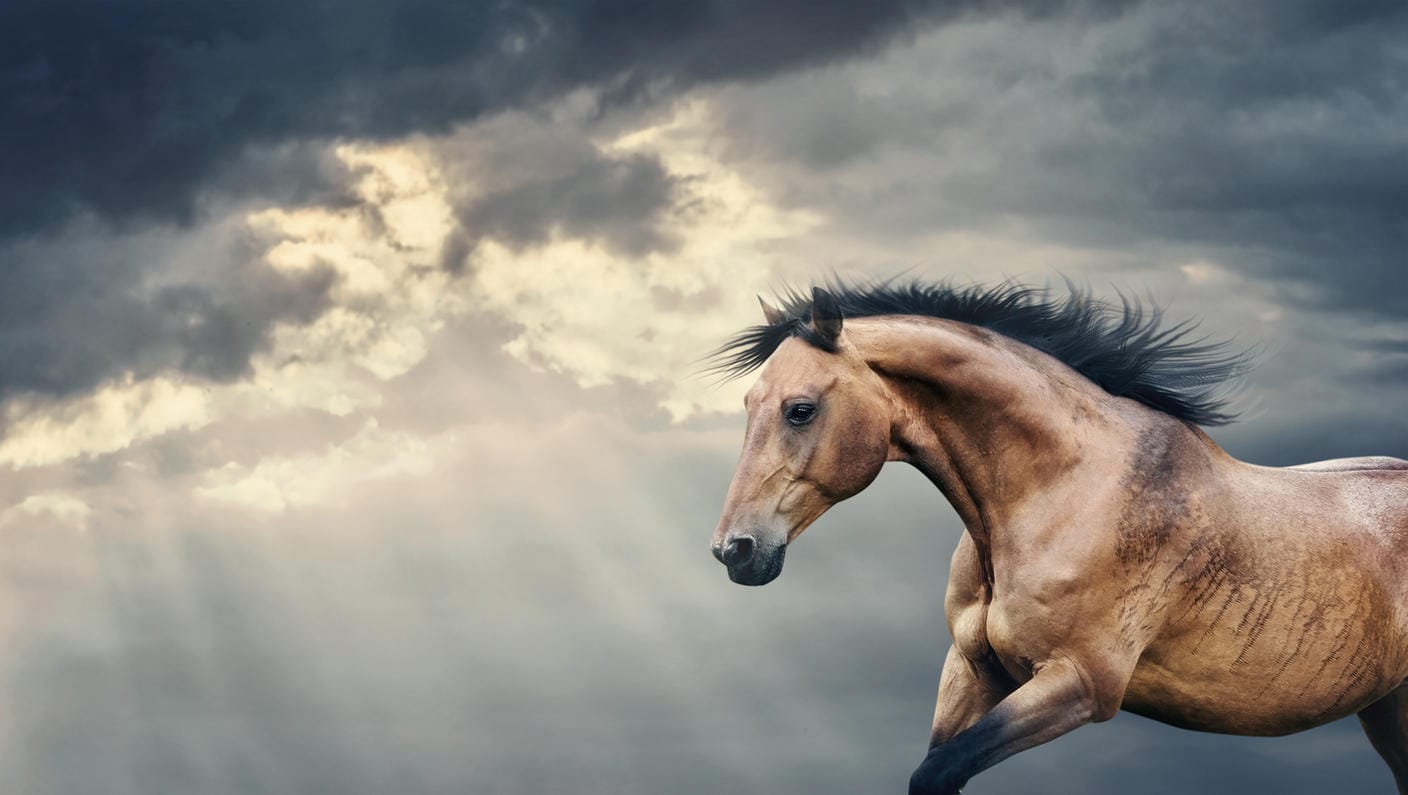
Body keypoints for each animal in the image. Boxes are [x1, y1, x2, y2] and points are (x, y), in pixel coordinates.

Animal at [715, 281, 1408, 787]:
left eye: (801, 409)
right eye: (749, 406)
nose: (734, 551)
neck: (1063, 492)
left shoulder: (1080, 682)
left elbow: (939, 772)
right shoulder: (973, 671)